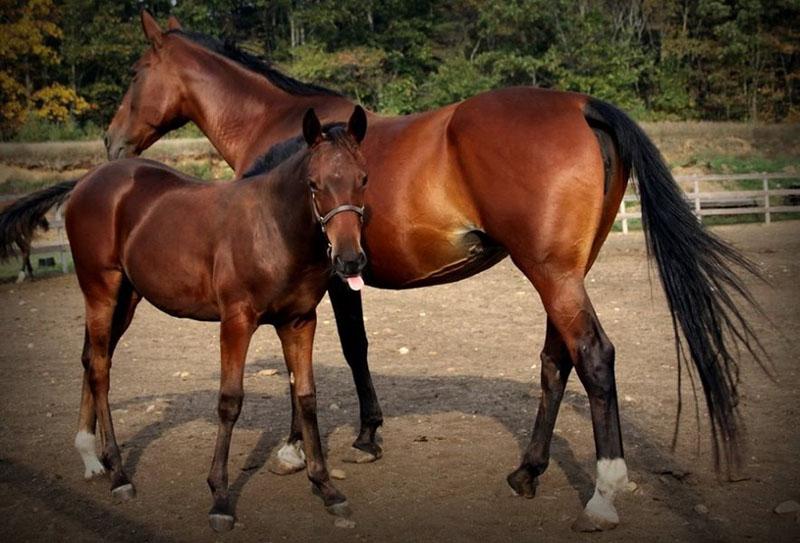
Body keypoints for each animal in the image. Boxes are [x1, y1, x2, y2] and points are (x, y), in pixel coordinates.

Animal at [0, 10, 764, 532]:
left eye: (136, 74)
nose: (110, 141)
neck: (285, 131)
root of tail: (584, 104)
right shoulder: (330, 277)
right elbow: (339, 356)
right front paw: (351, 439)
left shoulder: (327, 279)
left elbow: (340, 354)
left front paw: (313, 448)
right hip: (563, 274)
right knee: (558, 361)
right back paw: (526, 472)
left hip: (552, 273)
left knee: (594, 357)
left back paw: (603, 493)